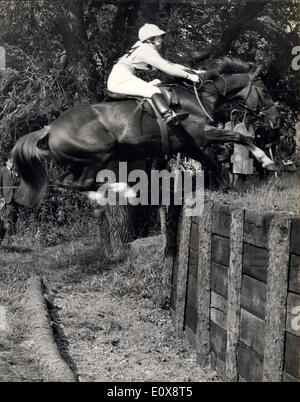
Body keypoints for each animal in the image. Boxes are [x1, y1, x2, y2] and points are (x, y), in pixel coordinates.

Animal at [11, 58, 278, 209]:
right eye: (265, 90)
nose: (275, 119)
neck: (201, 97)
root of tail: (50, 128)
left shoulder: (189, 145)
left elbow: (211, 162)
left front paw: (226, 187)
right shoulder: (202, 135)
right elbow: (242, 138)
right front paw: (268, 162)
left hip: (77, 162)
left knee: (66, 182)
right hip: (101, 154)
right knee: (85, 183)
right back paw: (126, 191)